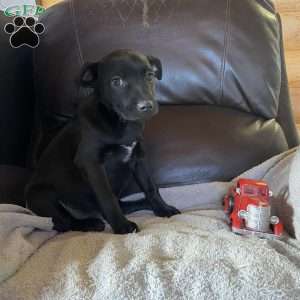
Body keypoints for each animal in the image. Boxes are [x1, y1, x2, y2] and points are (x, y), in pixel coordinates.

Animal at [24, 49, 179, 234]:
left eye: (149, 75)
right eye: (116, 81)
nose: (146, 106)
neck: (120, 122)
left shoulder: (138, 157)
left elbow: (151, 187)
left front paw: (163, 208)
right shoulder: (92, 163)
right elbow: (107, 197)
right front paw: (122, 227)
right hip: (42, 195)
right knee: (63, 222)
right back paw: (90, 224)